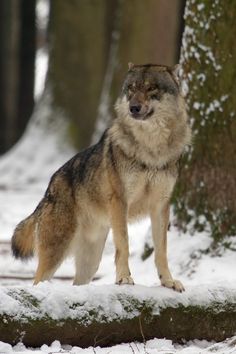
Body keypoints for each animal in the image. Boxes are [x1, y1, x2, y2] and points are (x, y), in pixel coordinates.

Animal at [11, 63, 192, 290]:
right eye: (131, 89)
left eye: (151, 88)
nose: (133, 107)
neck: (151, 148)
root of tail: (47, 192)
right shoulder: (120, 201)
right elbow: (123, 244)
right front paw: (124, 278)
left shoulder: (160, 206)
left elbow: (161, 250)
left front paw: (168, 281)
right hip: (55, 255)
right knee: (37, 282)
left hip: (91, 263)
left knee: (77, 284)